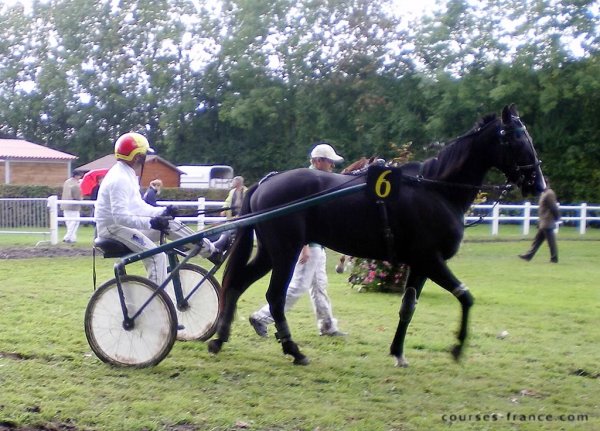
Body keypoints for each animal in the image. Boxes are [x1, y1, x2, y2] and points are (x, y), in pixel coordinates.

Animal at [209, 103, 548, 366]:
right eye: (517, 137)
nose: (539, 183)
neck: (435, 189)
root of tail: (268, 181)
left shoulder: (420, 265)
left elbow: (408, 307)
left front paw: (398, 352)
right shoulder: (432, 260)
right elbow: (465, 296)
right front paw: (457, 347)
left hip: (270, 252)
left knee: (238, 283)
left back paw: (220, 339)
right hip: (286, 252)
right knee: (275, 297)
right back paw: (293, 350)